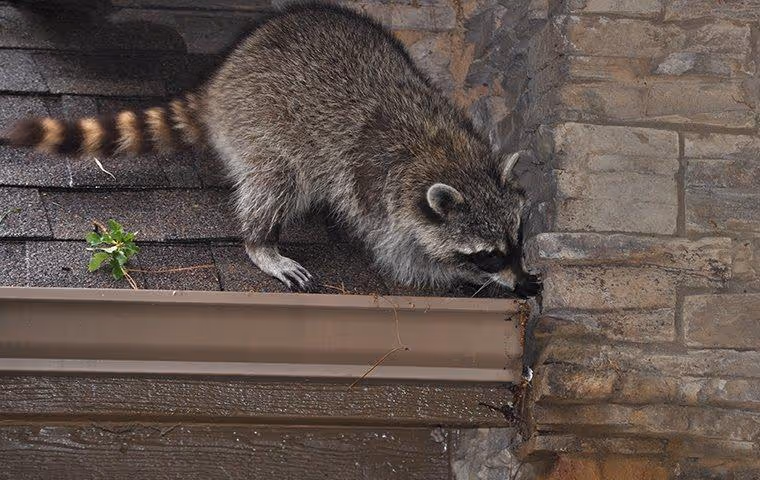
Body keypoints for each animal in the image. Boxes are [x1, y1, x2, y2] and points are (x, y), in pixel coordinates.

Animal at [2, 2, 530, 293]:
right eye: (487, 253)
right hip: (261, 125)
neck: (442, 151)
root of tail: (223, 78)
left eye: (517, 241)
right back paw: (261, 242)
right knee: (276, 182)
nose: (520, 279)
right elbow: (401, 259)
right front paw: (468, 277)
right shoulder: (378, 195)